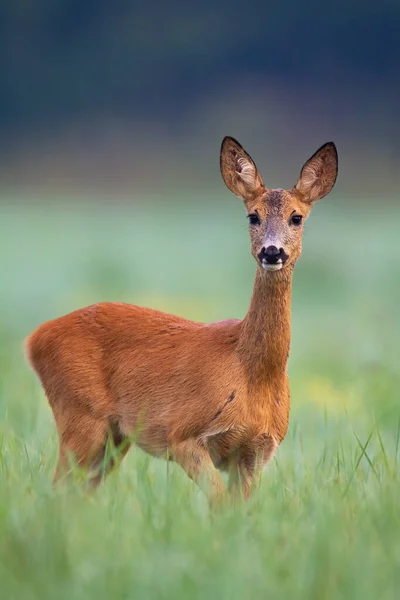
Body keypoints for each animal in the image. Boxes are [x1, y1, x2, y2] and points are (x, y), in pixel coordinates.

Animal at [25, 137, 338, 506]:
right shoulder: (184, 435)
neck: (251, 372)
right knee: (56, 488)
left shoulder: (255, 452)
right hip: (80, 414)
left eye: (296, 217)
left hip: (113, 436)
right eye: (253, 216)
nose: (271, 252)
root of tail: (35, 338)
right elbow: (219, 503)